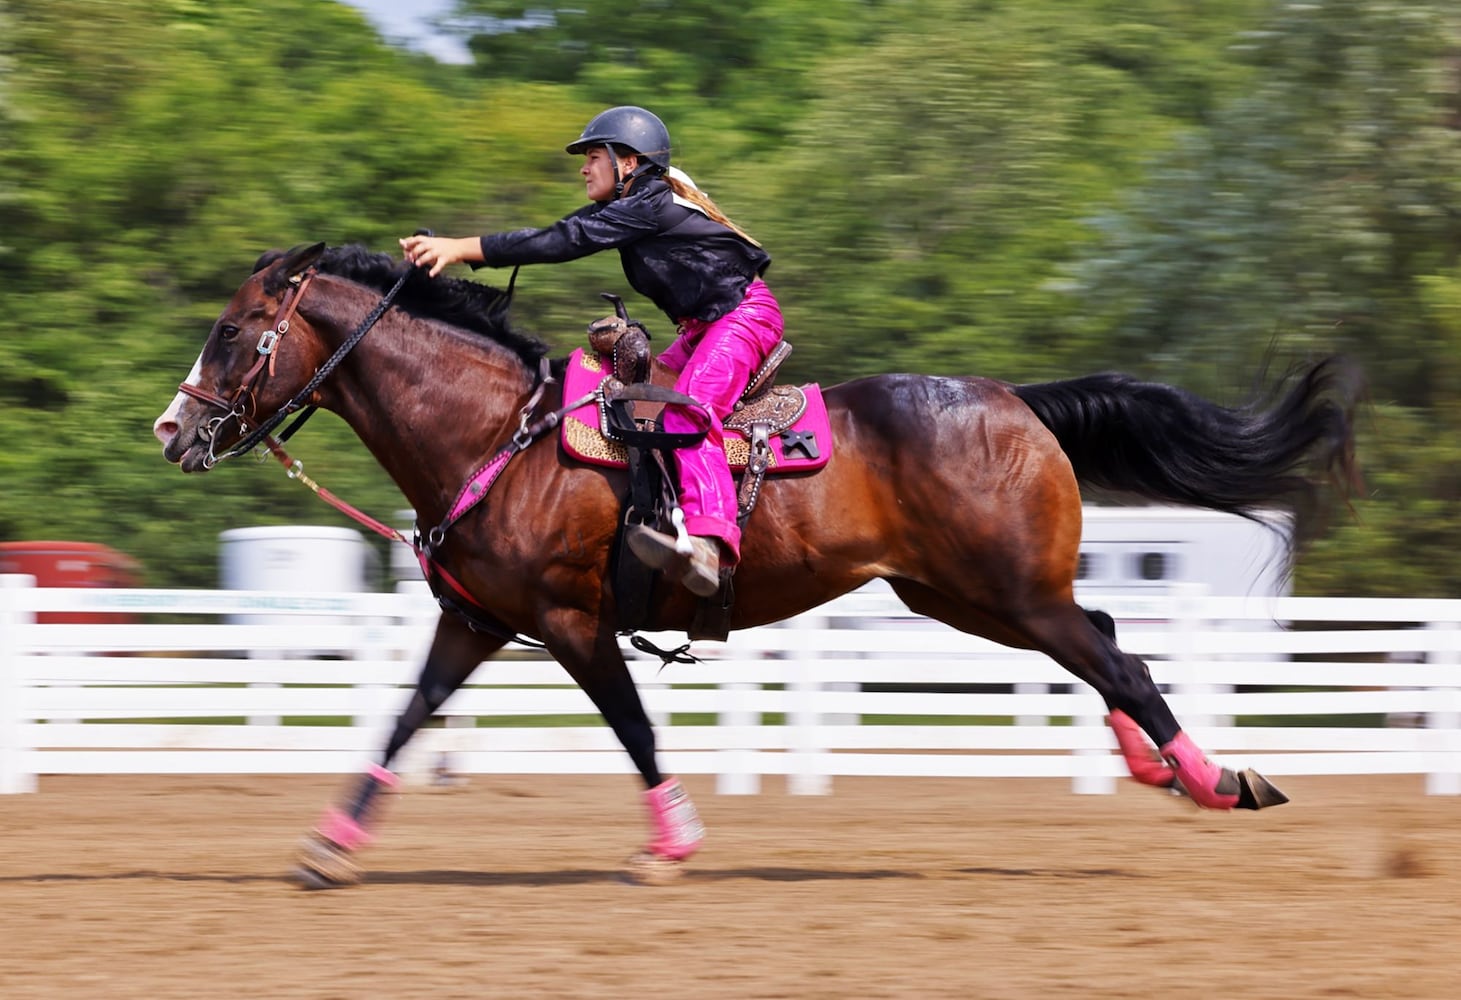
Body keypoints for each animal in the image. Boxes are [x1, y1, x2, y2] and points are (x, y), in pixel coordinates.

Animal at [154, 242, 1361, 883]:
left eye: (233, 330)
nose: (172, 431)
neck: (502, 434)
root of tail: (1021, 403)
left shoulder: (570, 624)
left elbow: (632, 727)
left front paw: (671, 846)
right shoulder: (478, 622)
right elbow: (405, 720)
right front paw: (329, 847)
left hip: (1006, 590)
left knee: (1124, 663)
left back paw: (1217, 781)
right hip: (970, 596)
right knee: (1103, 645)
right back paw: (1164, 774)